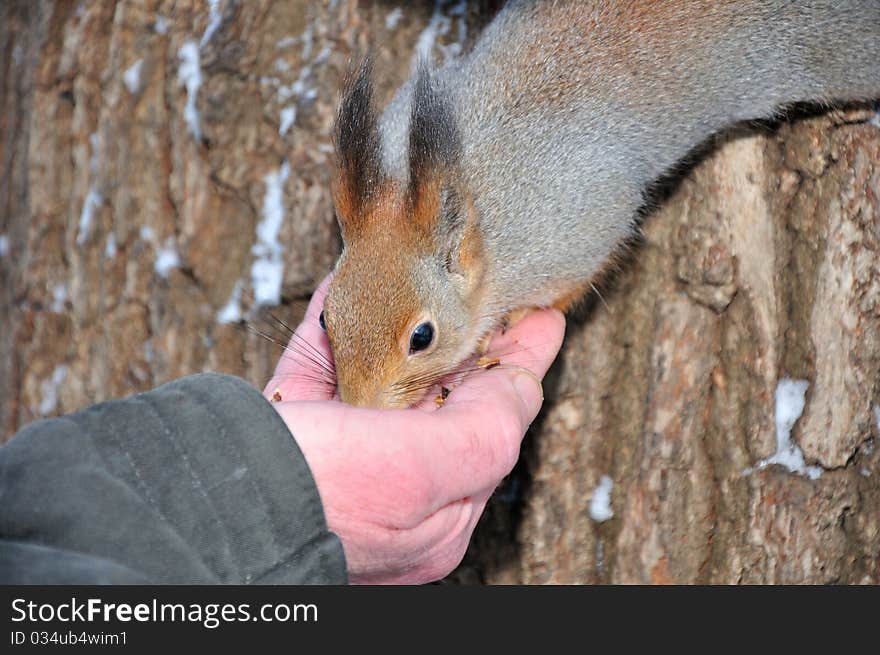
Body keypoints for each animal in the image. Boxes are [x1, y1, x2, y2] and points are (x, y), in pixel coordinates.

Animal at [320, 1, 876, 410]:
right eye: (326, 318)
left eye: (423, 337)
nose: (360, 406)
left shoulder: (584, 218)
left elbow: (583, 274)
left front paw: (509, 322)